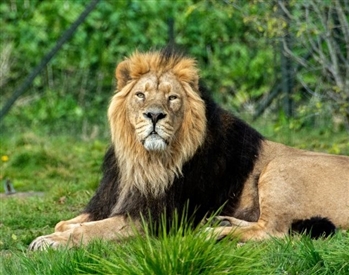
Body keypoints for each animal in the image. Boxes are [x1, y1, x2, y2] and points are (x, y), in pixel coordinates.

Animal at [29, 48, 348, 251]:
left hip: (279, 166)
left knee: (272, 232)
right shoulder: (113, 200)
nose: (154, 115)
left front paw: (51, 241)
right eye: (140, 95)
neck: (143, 161)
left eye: (172, 98)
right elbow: (65, 221)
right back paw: (220, 222)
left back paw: (212, 234)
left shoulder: (155, 218)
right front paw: (59, 231)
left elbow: (93, 229)